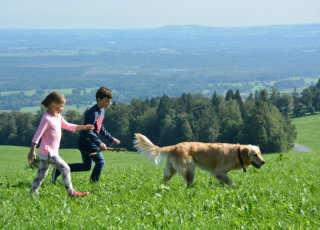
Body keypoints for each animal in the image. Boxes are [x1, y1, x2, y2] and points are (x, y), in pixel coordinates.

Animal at [132, 134, 264, 186]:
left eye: (259, 153)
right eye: (254, 154)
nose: (264, 162)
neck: (237, 153)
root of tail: (175, 146)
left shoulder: (220, 174)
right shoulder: (220, 171)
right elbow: (231, 181)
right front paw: (234, 187)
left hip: (170, 170)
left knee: (164, 180)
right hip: (190, 167)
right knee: (188, 183)